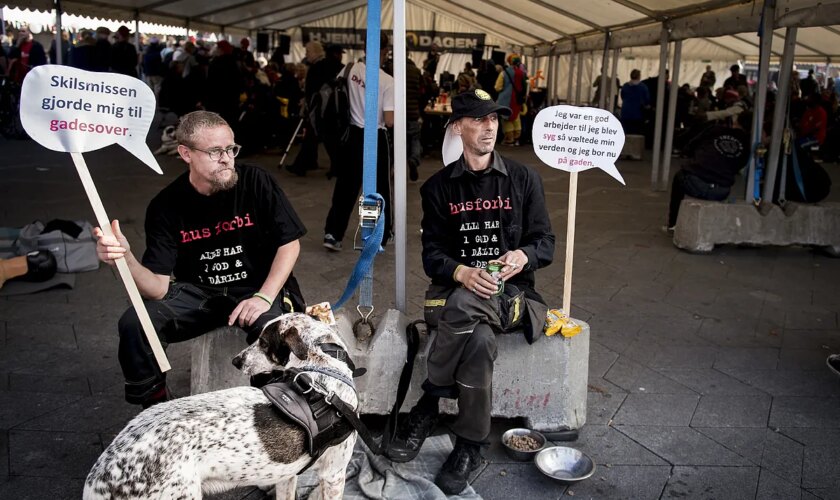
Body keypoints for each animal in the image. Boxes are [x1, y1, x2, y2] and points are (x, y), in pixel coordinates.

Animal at [83, 312, 360, 500]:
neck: (320, 365)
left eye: (264, 343)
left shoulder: (288, 474)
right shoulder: (334, 474)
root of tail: (101, 476)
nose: (236, 361)